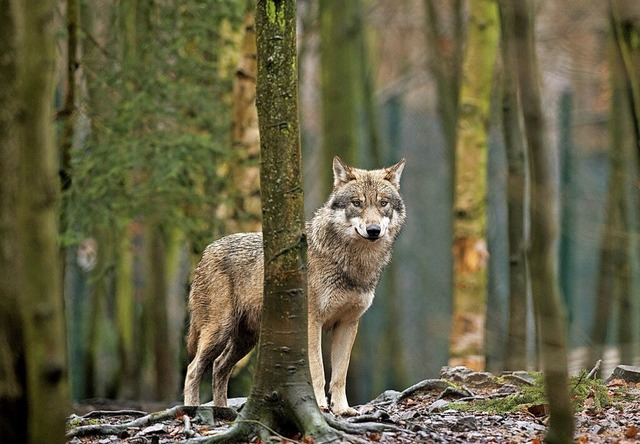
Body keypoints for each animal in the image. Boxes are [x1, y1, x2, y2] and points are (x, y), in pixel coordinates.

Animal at [184, 157, 404, 416]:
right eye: (357, 203)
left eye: (383, 203)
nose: (373, 230)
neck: (352, 263)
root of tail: (207, 250)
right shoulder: (312, 322)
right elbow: (318, 371)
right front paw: (320, 406)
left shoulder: (348, 324)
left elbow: (340, 375)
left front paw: (343, 410)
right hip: (219, 331)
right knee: (193, 368)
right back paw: (191, 409)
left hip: (246, 340)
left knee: (219, 366)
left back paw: (223, 411)